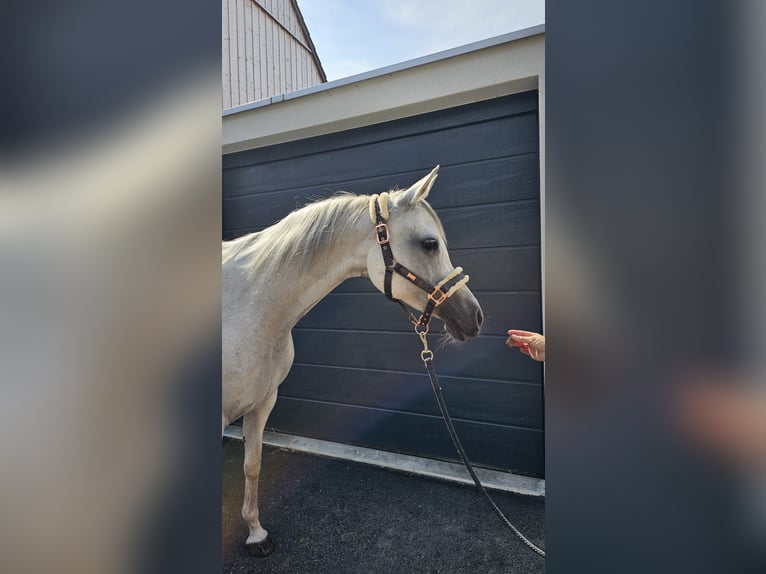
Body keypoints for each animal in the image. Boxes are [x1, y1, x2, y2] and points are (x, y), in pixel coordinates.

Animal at [224, 168, 486, 560]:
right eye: (429, 244)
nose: (475, 317)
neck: (250, 305)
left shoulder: (263, 401)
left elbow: (252, 465)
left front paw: (256, 534)